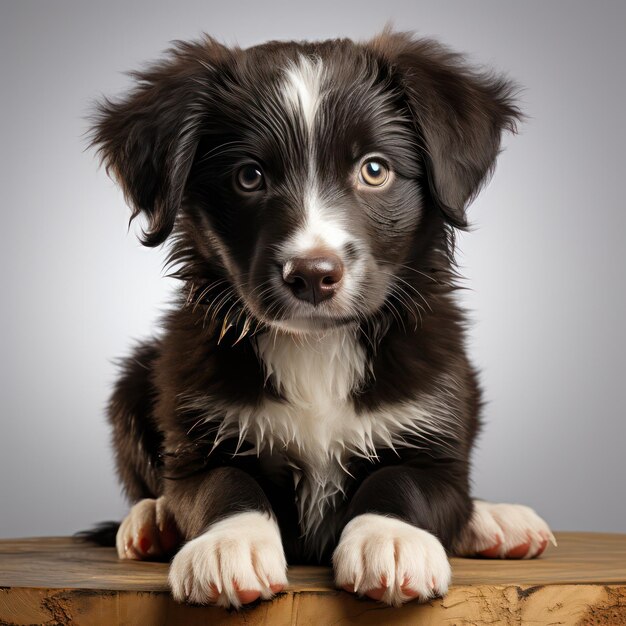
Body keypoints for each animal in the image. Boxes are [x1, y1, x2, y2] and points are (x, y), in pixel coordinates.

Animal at [86, 28, 552, 604]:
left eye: (374, 169)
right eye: (249, 177)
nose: (312, 274)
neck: (317, 347)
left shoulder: (435, 434)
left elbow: (403, 482)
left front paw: (390, 539)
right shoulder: (196, 436)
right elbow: (223, 485)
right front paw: (229, 545)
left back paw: (496, 521)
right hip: (135, 376)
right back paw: (151, 521)